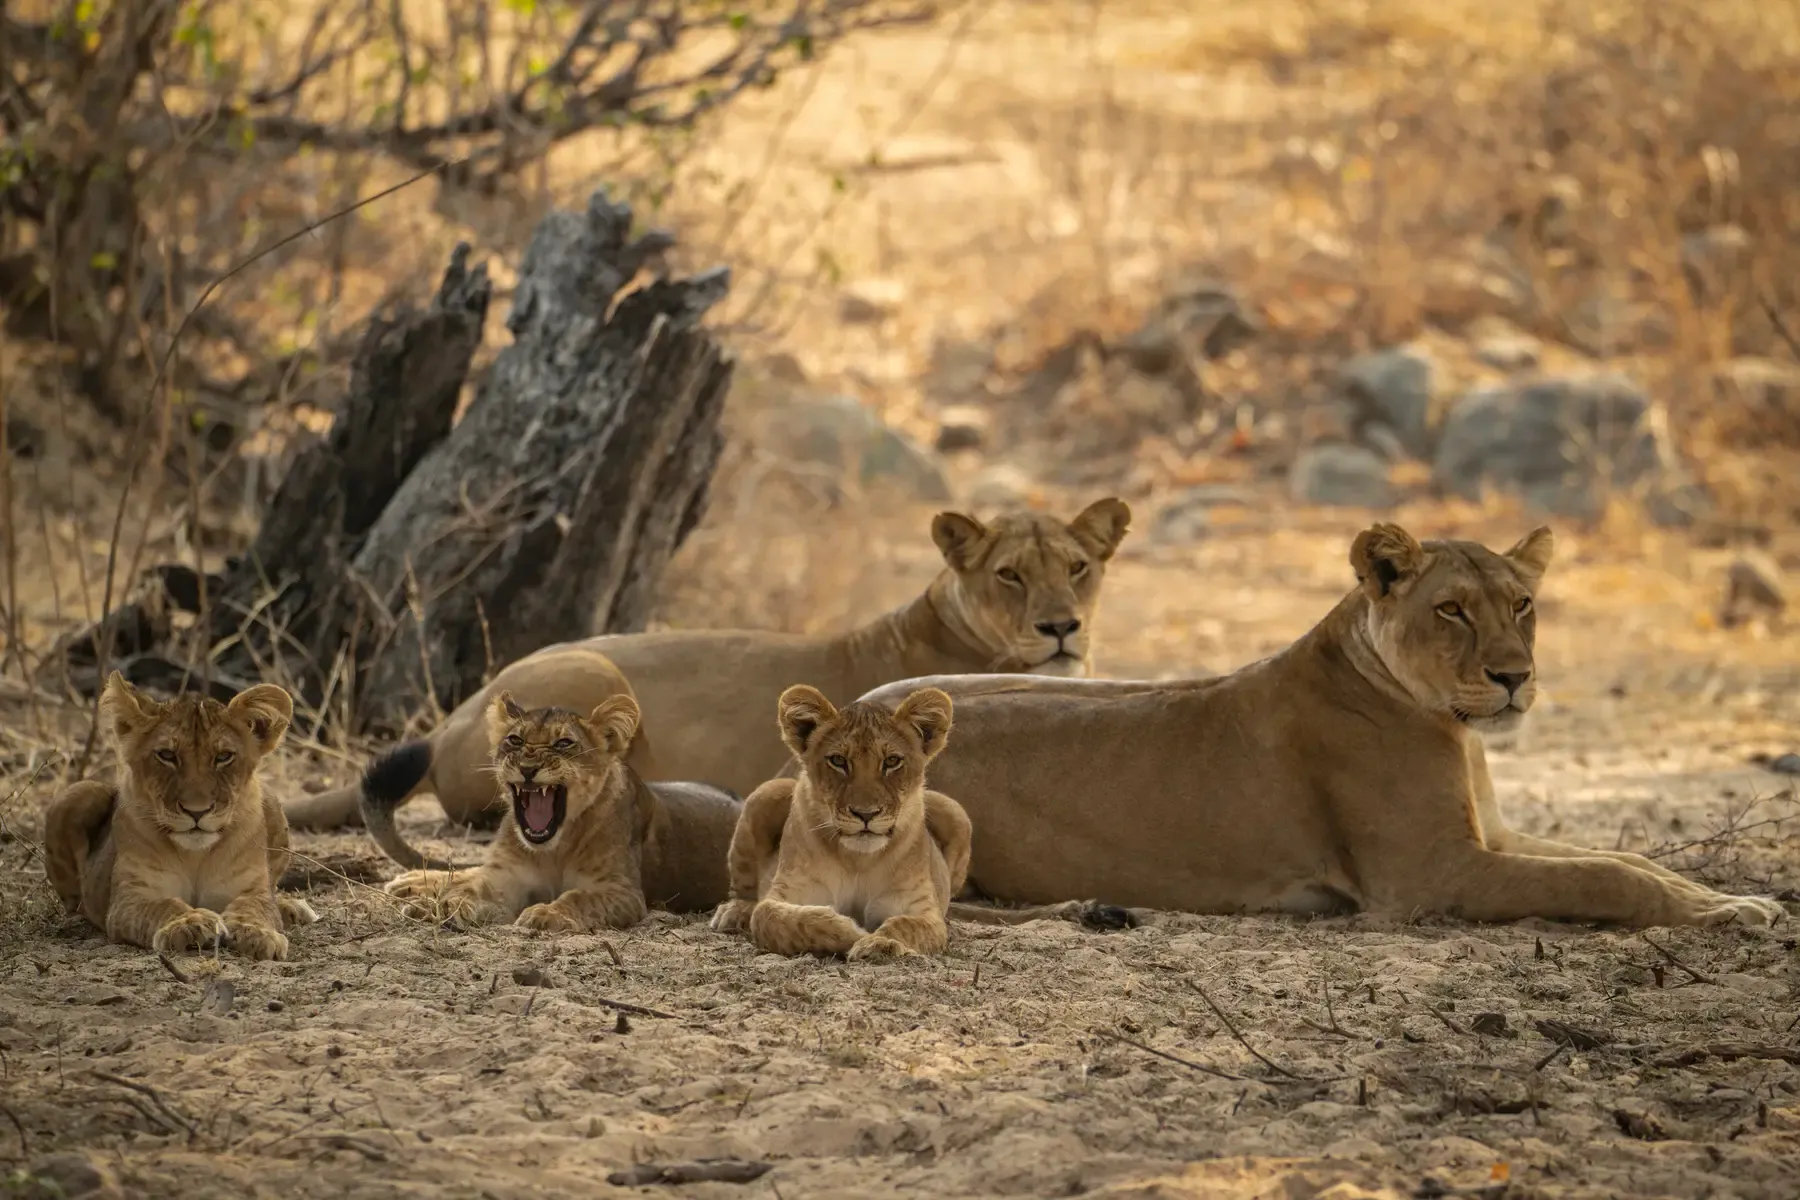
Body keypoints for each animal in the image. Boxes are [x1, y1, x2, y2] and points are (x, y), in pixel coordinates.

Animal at [43, 673, 319, 961]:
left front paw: (257, 933)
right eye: (167, 755)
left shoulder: (251, 891)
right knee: (74, 900)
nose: (196, 811)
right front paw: (190, 924)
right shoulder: (130, 899)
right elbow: (163, 906)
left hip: (272, 800)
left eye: (223, 757)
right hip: (77, 793)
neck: (195, 856)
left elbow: (258, 908)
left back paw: (292, 908)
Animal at [375, 691, 737, 930]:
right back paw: (411, 883)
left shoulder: (623, 892)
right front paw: (441, 906)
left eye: (564, 744)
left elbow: (578, 898)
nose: (528, 767)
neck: (554, 848)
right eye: (515, 740)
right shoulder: (507, 875)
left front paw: (547, 914)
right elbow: (475, 886)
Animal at [710, 684, 972, 959]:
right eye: (838, 761)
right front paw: (855, 934)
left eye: (891, 761)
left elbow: (905, 926)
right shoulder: (788, 892)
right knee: (746, 891)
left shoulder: (922, 910)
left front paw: (879, 943)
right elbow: (774, 916)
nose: (866, 814)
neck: (858, 860)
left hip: (955, 811)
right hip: (767, 791)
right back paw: (735, 912)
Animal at [852, 523, 1788, 929]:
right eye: (1452, 609)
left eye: (1523, 604)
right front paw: (1723, 914)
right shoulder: (1428, 876)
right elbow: (1605, 880)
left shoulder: (1492, 835)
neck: (1457, 731)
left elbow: (1628, 859)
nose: (1514, 678)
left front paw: (1731, 897)